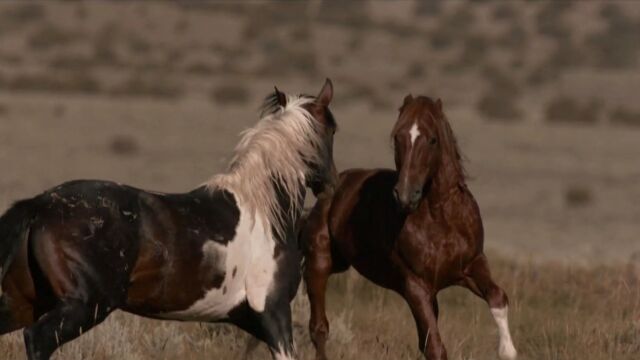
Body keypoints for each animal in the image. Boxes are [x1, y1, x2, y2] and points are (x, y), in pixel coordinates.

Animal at [0, 79, 338, 360]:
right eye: (332, 129)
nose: (332, 184)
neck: (266, 211)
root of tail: (40, 205)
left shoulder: (247, 319)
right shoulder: (273, 313)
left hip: (23, 302)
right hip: (84, 305)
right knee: (38, 338)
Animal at [302, 95, 516, 360]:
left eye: (432, 139)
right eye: (397, 137)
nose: (405, 196)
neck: (442, 219)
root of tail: (333, 188)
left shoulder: (471, 266)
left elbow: (498, 298)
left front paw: (508, 350)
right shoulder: (415, 286)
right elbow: (435, 348)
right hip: (319, 263)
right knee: (319, 327)